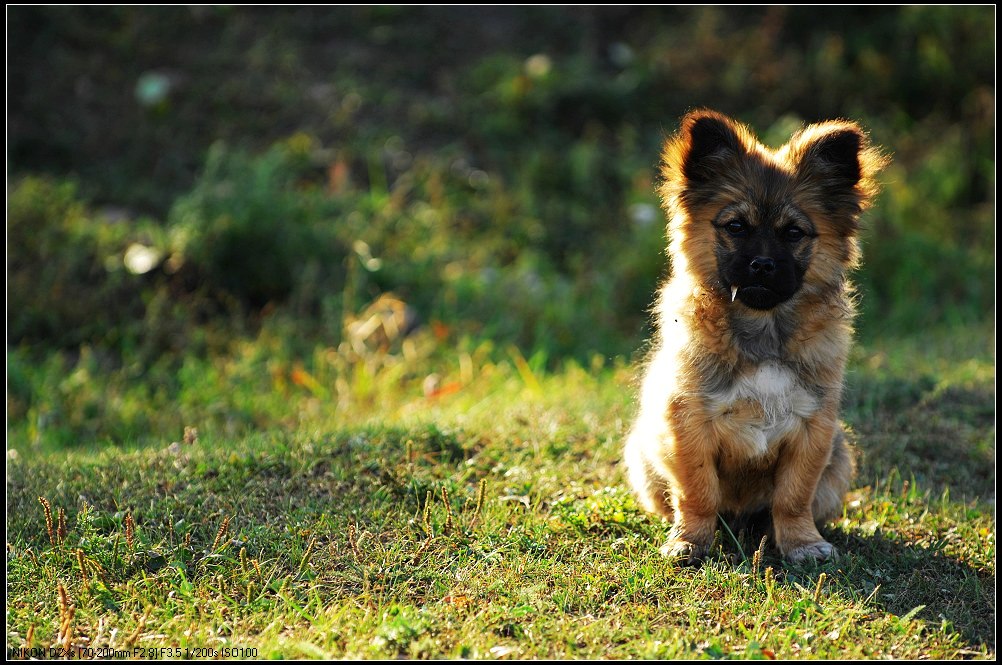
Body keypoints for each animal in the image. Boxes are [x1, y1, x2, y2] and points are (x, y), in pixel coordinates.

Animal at [621, 109, 889, 560]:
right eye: (736, 226)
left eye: (793, 232)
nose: (762, 265)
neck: (763, 329)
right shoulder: (689, 425)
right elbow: (698, 493)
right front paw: (690, 541)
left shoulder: (812, 430)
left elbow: (793, 498)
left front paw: (801, 543)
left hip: (839, 458)